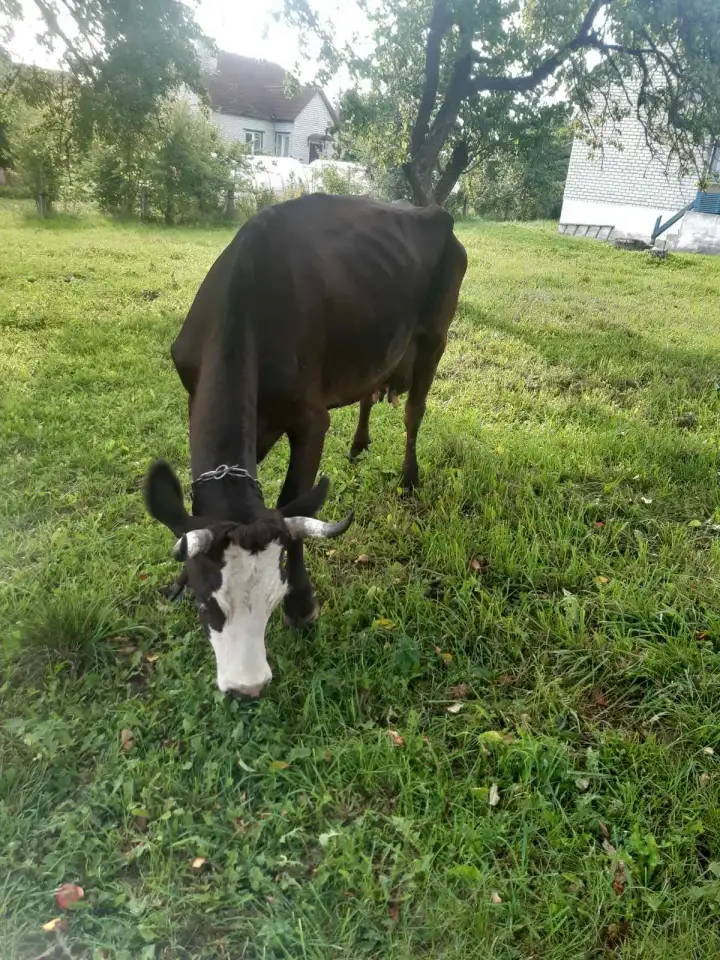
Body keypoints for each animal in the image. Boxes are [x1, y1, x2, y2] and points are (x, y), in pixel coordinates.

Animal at [144, 193, 467, 697]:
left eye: (274, 598)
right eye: (206, 605)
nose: (248, 687)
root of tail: (432, 211)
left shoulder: (311, 420)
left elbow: (295, 502)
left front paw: (303, 604)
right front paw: (177, 577)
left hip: (436, 334)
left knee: (415, 410)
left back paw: (409, 479)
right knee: (370, 391)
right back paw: (359, 445)